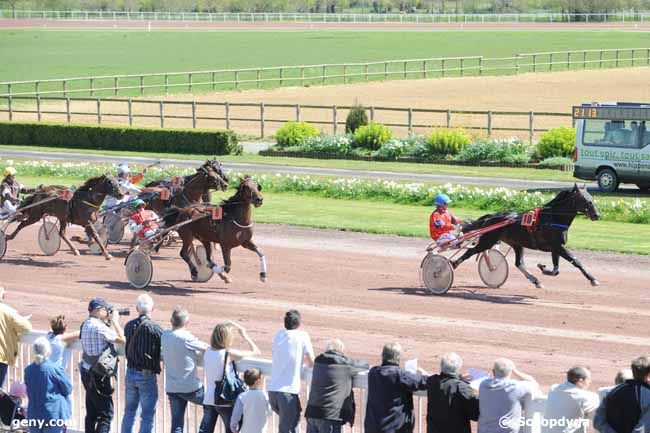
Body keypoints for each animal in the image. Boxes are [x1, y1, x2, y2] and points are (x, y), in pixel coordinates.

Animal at [450, 184, 596, 288]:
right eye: (585, 200)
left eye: (592, 199)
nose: (597, 215)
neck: (553, 218)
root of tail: (492, 216)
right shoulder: (557, 246)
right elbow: (575, 261)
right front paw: (593, 279)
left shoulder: (556, 247)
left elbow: (556, 270)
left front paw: (543, 268)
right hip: (488, 240)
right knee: (471, 251)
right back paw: (454, 263)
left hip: (516, 244)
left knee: (519, 263)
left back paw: (535, 281)